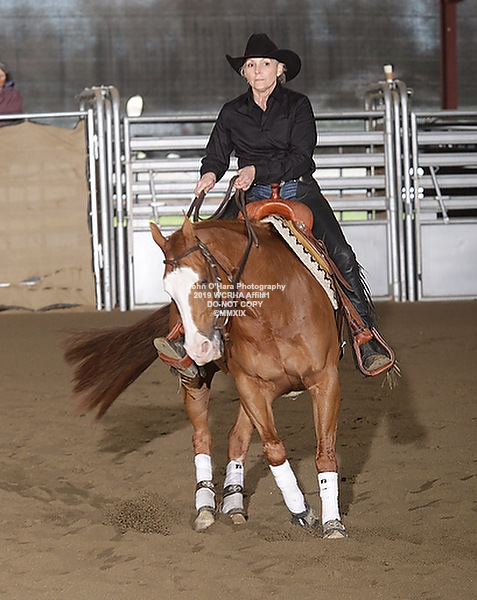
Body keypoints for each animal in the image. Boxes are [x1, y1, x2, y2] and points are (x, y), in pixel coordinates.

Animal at [64, 215, 348, 539]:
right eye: (169, 292)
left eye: (202, 281)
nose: (198, 348)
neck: (275, 310)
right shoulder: (251, 386)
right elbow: (274, 450)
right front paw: (302, 511)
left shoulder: (325, 381)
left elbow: (324, 452)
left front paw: (333, 524)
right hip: (197, 385)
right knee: (203, 437)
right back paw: (207, 507)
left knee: (236, 438)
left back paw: (234, 505)